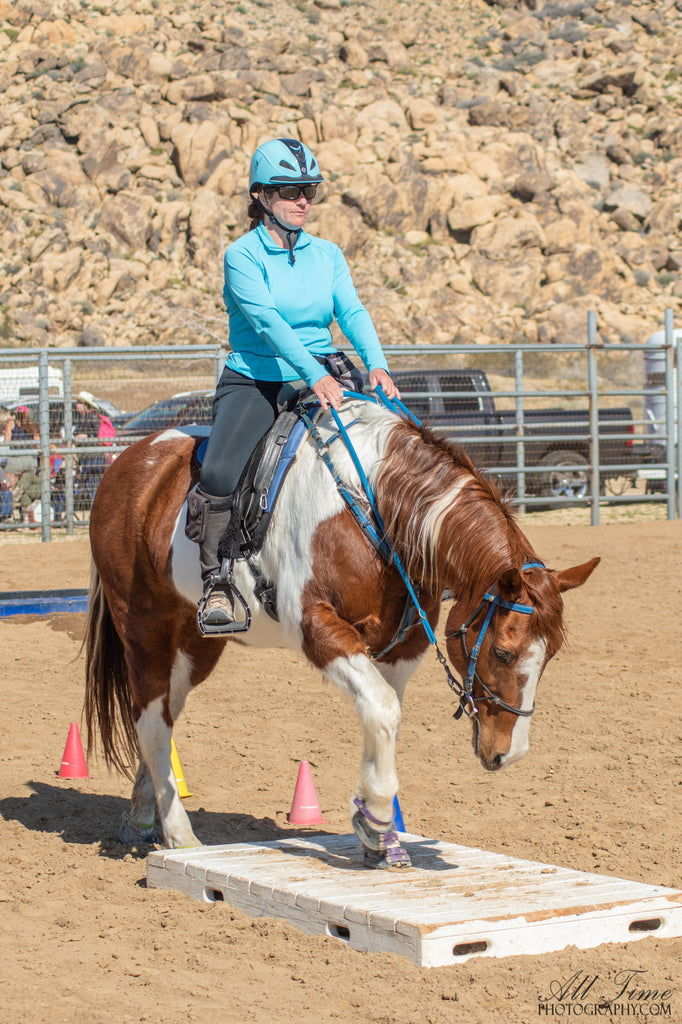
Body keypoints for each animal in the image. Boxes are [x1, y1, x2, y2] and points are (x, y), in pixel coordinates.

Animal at [83, 395, 593, 868]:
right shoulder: (318, 627)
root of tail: (131, 460)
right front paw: (377, 819)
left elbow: (382, 715)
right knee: (151, 717)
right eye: (504, 653)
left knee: (161, 714)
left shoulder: (400, 648)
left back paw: (142, 816)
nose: (509, 754)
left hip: (195, 644)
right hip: (144, 626)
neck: (378, 507)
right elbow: (383, 710)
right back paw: (179, 833)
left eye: (550, 656)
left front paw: (377, 833)